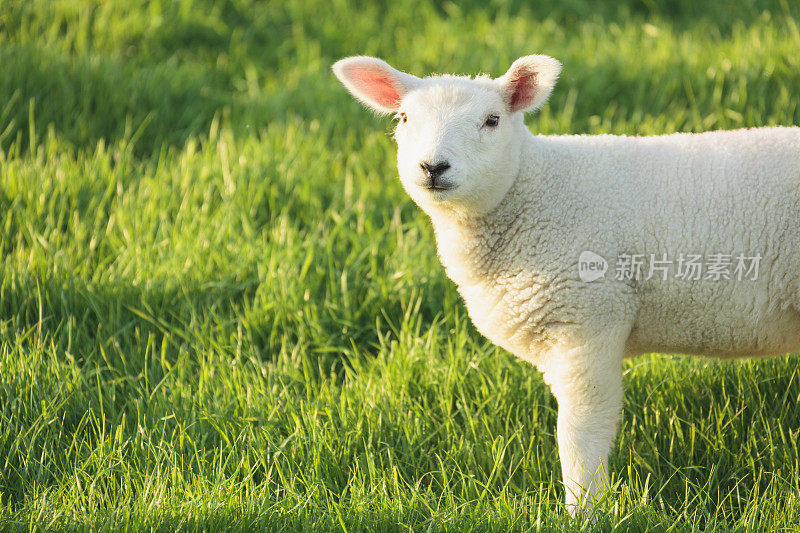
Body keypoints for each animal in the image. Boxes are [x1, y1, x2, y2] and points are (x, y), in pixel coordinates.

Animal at [332, 54, 800, 512]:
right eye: (404, 118)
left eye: (492, 120)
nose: (433, 167)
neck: (535, 192)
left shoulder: (588, 320)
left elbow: (579, 433)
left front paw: (586, 509)